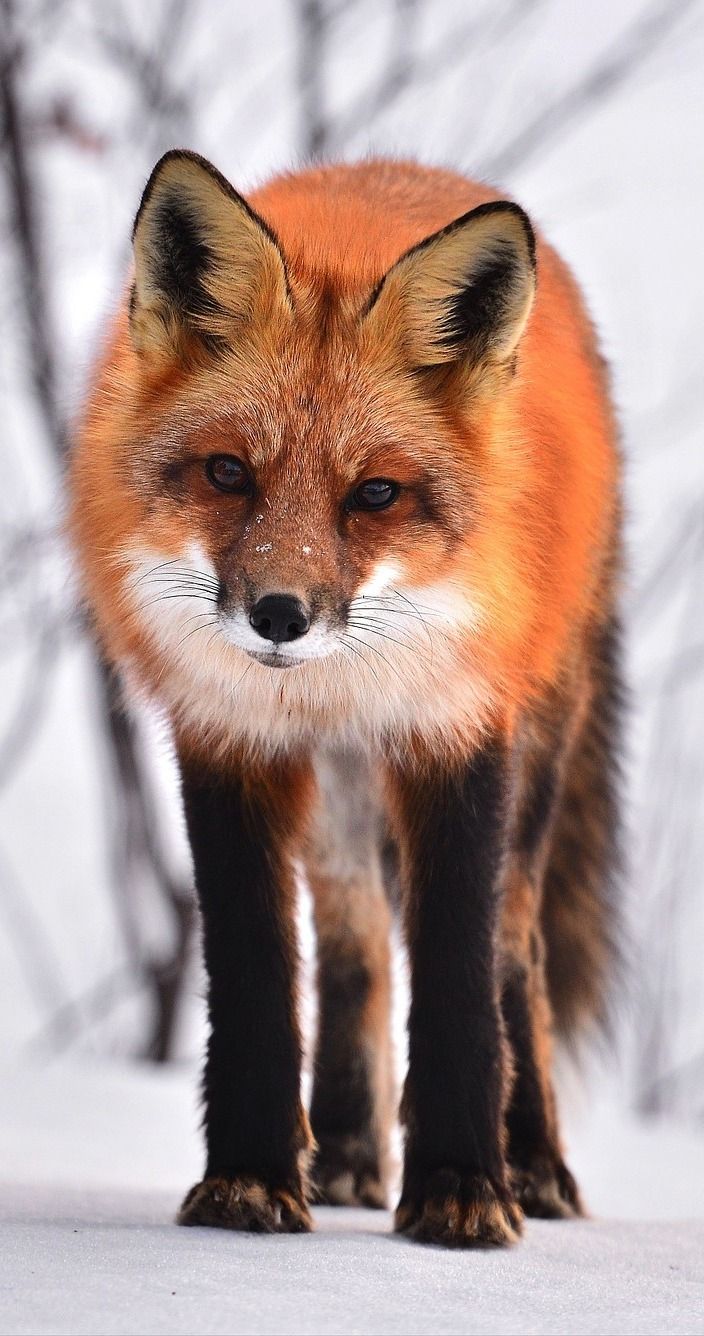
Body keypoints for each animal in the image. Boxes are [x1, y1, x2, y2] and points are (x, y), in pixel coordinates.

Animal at [70, 151, 622, 1245]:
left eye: (374, 494)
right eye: (228, 472)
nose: (279, 615)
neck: (332, 683)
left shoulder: (455, 732)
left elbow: (457, 977)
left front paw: (461, 1186)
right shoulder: (229, 739)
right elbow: (256, 975)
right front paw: (249, 1177)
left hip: (536, 749)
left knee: (515, 949)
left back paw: (534, 1163)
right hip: (335, 800)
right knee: (353, 944)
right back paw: (349, 1152)